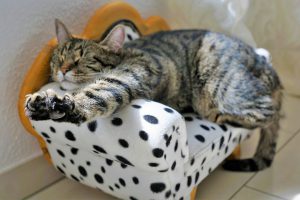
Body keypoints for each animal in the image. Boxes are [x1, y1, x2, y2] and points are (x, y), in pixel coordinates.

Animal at [24, 19, 282, 172]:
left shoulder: (126, 76)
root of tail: (267, 66)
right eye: (59, 56)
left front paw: (55, 102)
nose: (63, 69)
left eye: (81, 59)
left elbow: (96, 93)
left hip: (221, 92)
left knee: (269, 112)